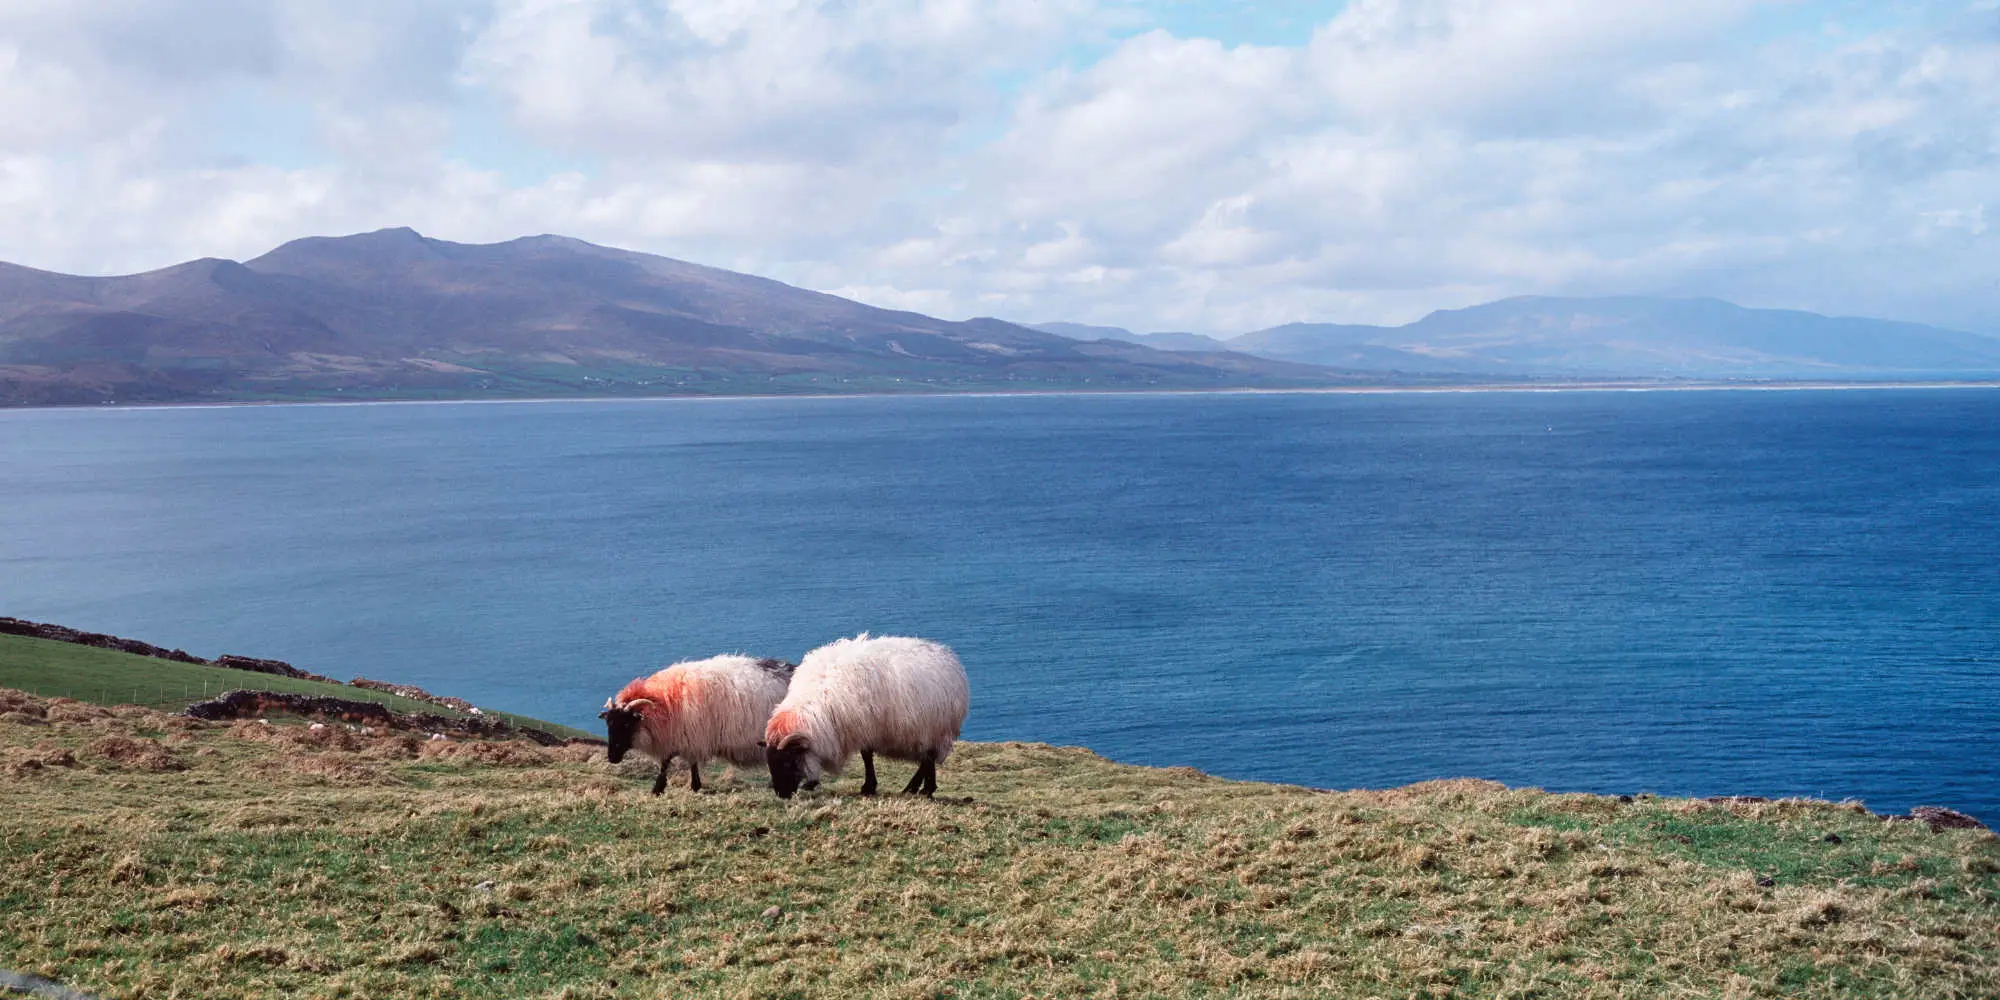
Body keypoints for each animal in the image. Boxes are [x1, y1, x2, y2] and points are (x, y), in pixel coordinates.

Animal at [602, 655, 797, 794]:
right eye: (609, 723)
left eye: (626, 724)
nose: (611, 757)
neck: (664, 704)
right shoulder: (685, 736)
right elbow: (681, 762)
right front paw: (690, 786)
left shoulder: (692, 735)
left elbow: (670, 762)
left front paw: (660, 788)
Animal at [763, 634, 968, 799]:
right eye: (770, 763)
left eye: (788, 761)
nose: (781, 794)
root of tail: (948, 657)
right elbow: (866, 756)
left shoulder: (865, 726)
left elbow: (867, 757)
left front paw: (868, 787)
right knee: (925, 761)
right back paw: (912, 789)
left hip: (933, 727)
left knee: (929, 759)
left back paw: (926, 790)